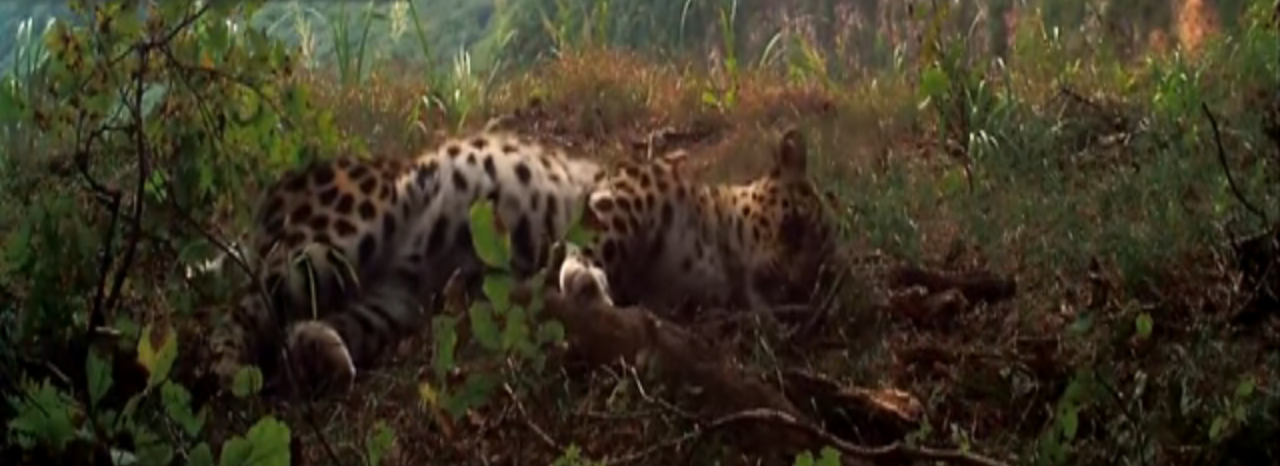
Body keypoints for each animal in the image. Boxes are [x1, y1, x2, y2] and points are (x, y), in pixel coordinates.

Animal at [207, 123, 606, 394]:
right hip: (341, 232)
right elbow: (590, 244)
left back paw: (318, 356)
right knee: (240, 307)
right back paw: (231, 371)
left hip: (396, 300)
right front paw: (587, 285)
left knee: (302, 328)